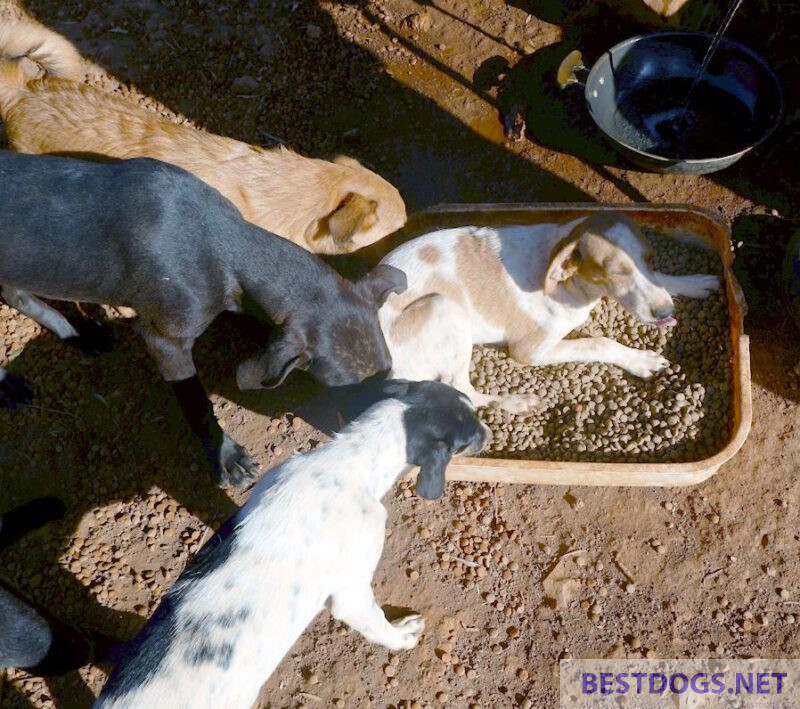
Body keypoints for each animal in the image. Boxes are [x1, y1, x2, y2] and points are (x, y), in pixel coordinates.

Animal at [0, 151, 406, 484]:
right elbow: (196, 401)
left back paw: (82, 333)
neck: (224, 240)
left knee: (17, 294)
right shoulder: (166, 339)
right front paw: (226, 456)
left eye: (388, 370)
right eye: (341, 386)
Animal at [97, 382, 490, 708]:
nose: (489, 431)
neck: (348, 460)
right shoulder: (351, 592)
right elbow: (378, 623)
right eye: (467, 437)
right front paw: (403, 635)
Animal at [378, 213, 720, 418]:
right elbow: (599, 342)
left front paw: (693, 282)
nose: (666, 312)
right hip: (445, 307)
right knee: (461, 390)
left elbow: (660, 279)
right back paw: (515, 402)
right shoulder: (528, 350)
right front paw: (640, 360)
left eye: (649, 258)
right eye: (615, 272)